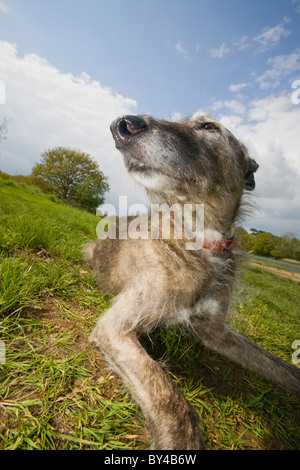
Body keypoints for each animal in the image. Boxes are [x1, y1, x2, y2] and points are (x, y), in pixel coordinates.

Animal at [84, 112, 300, 450]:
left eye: (208, 127)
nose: (123, 125)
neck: (199, 238)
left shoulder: (215, 330)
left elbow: (279, 367)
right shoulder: (114, 327)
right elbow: (172, 401)